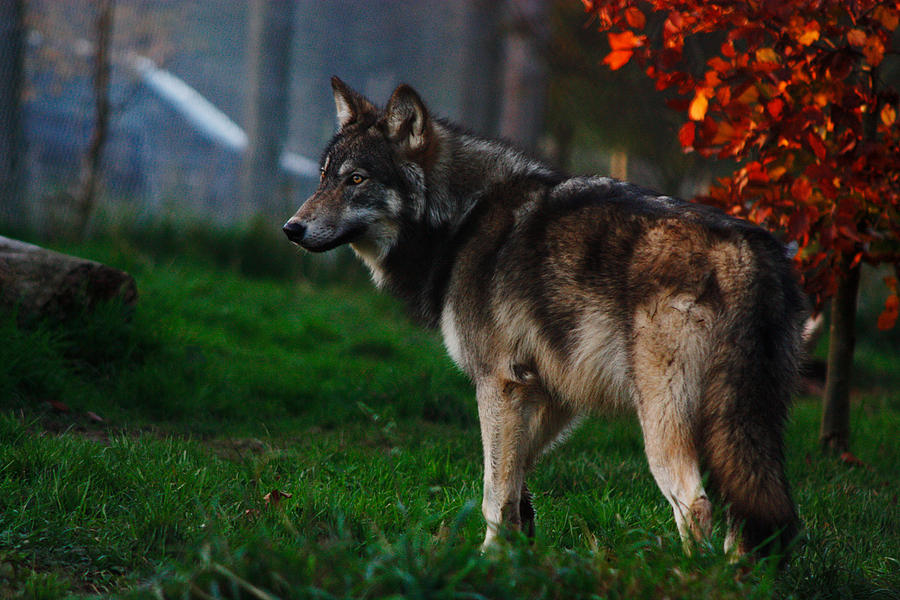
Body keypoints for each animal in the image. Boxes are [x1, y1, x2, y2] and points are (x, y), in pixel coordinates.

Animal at [283, 77, 805, 558]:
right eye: (324, 176)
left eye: (356, 179)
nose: (291, 228)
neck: (461, 223)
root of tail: (749, 254)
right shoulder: (551, 393)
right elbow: (514, 480)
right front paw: (521, 549)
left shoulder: (499, 383)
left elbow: (494, 493)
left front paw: (488, 561)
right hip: (740, 427)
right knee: (747, 512)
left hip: (664, 424)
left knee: (695, 506)